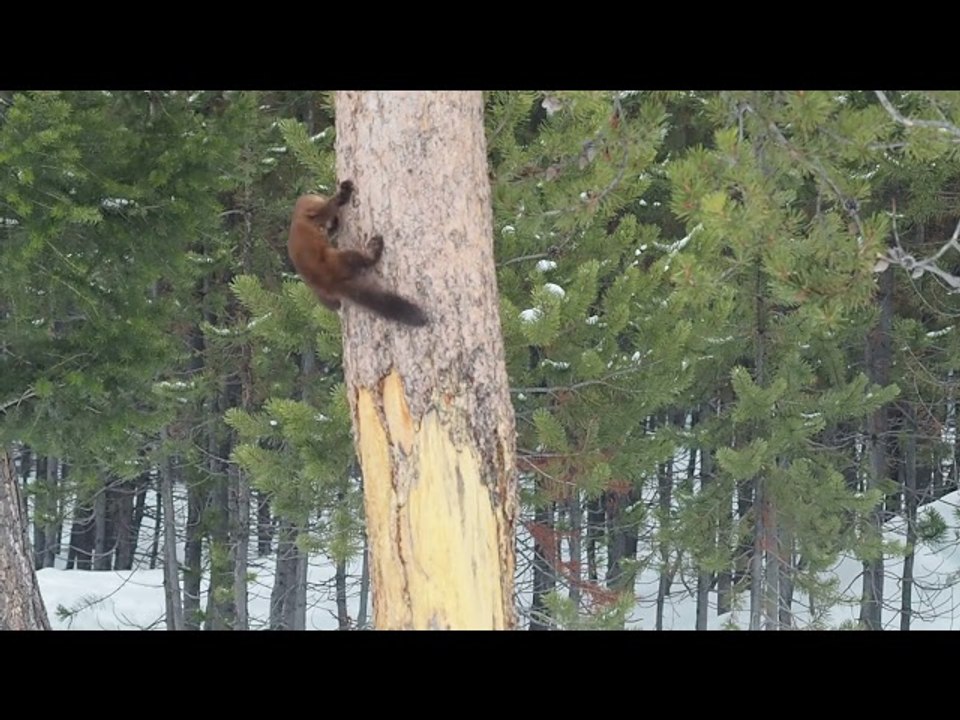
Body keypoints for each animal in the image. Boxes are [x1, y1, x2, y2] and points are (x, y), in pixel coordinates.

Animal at [287, 180, 428, 327]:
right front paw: (345, 190)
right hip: (340, 257)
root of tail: (330, 283)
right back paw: (375, 247)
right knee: (363, 260)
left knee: (333, 304)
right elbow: (332, 205)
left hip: (323, 295)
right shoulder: (315, 211)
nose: (335, 221)